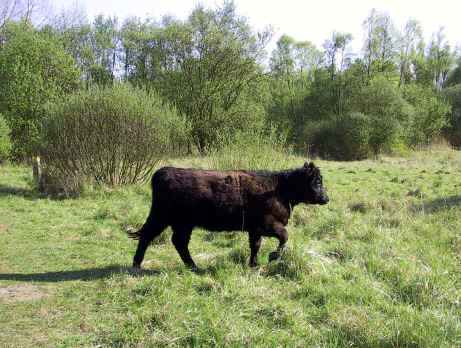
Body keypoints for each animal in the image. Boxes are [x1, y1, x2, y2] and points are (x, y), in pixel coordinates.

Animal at [127, 163, 326, 270]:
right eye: (317, 182)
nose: (326, 198)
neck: (279, 189)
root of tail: (164, 171)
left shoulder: (255, 229)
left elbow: (255, 246)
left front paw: (254, 264)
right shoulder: (269, 224)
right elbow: (285, 236)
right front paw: (272, 256)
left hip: (180, 223)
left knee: (177, 242)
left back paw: (192, 266)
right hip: (164, 217)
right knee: (150, 236)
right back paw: (137, 264)